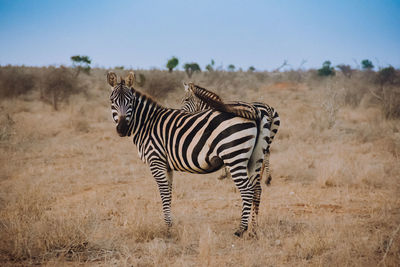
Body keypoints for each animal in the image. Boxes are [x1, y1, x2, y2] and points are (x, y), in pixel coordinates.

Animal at [108, 71, 268, 237]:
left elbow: (163, 191)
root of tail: (255, 111)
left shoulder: (156, 160)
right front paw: (169, 226)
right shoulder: (167, 165)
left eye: (131, 101)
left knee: (247, 190)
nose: (121, 129)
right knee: (257, 189)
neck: (147, 124)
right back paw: (254, 231)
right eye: (112, 101)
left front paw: (168, 229)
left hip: (234, 156)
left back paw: (241, 229)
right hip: (255, 158)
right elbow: (169, 192)